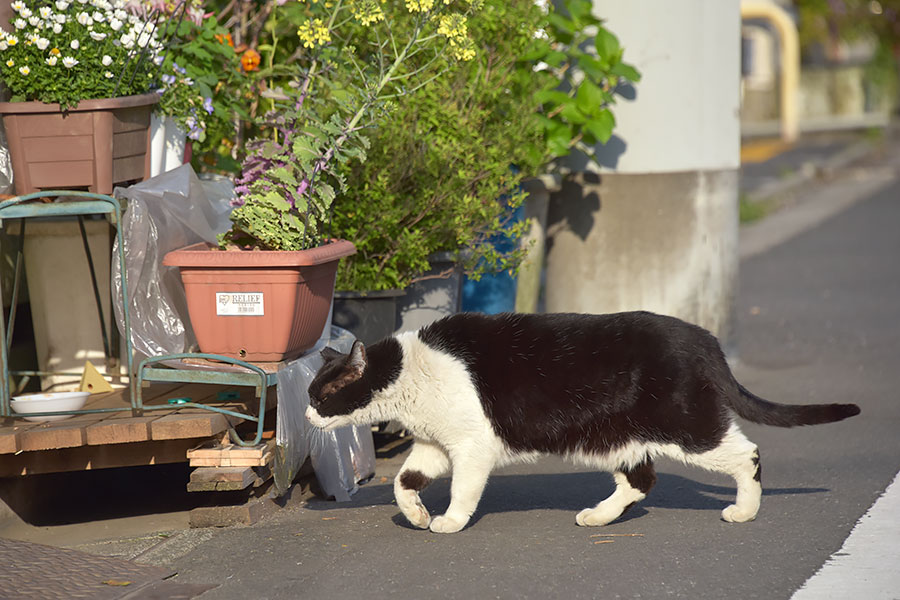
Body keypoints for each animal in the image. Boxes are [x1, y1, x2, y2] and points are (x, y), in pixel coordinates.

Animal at [306, 312, 860, 532]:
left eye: (320, 395)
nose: (308, 413)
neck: (409, 374)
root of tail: (705, 339)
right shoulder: (435, 445)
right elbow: (404, 480)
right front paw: (417, 514)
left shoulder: (471, 445)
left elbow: (463, 490)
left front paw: (448, 521)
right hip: (615, 437)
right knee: (641, 478)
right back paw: (598, 516)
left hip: (687, 426)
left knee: (748, 454)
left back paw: (744, 511)